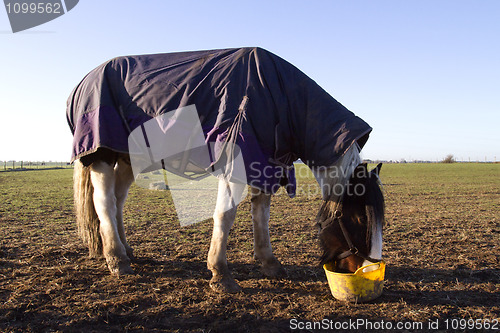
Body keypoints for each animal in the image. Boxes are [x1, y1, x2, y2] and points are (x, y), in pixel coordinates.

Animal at [67, 48, 386, 292]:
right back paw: (117, 259)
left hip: (129, 158)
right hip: (101, 156)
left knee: (118, 200)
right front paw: (220, 274)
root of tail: (83, 81)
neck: (280, 96)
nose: (369, 270)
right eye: (359, 220)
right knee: (104, 202)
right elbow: (225, 216)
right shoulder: (238, 164)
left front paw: (269, 263)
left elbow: (261, 217)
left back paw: (126, 251)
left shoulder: (265, 165)